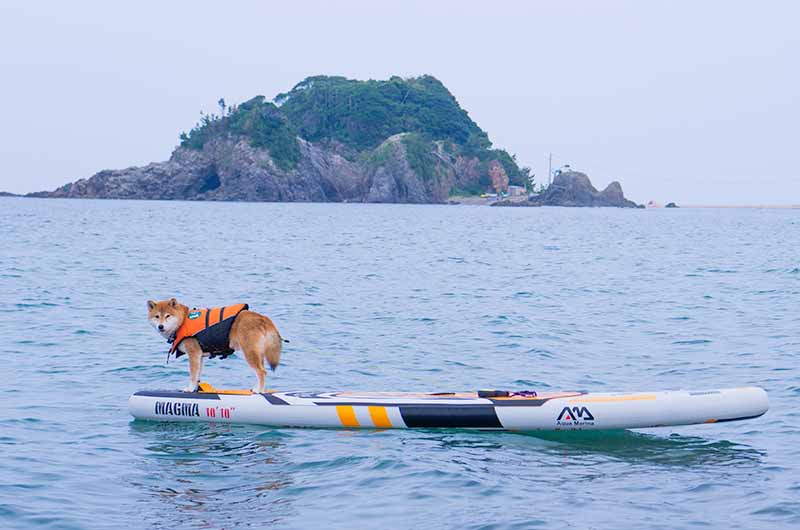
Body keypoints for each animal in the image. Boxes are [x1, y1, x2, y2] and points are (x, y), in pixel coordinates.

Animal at [147, 296, 284, 392]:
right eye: (157, 316)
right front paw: (196, 389)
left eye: (168, 316)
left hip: (249, 352)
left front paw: (189, 389)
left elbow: (192, 375)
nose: (160, 326)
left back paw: (258, 391)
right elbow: (197, 375)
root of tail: (262, 318)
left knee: (262, 372)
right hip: (258, 353)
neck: (183, 321)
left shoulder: (193, 354)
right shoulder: (199, 356)